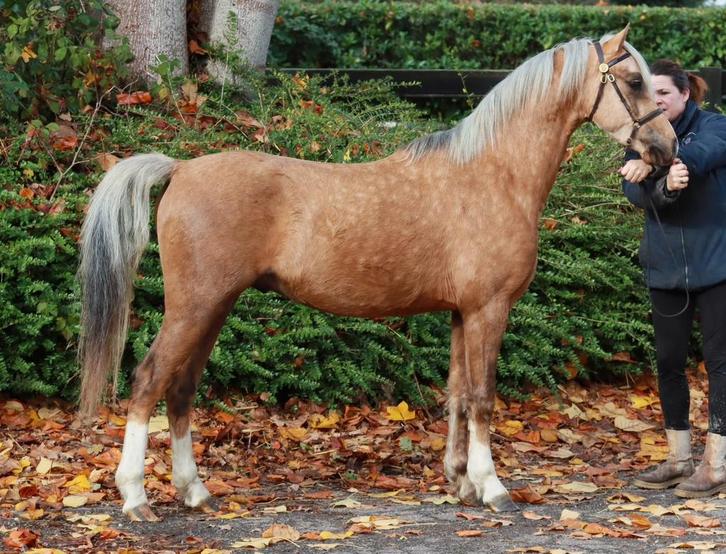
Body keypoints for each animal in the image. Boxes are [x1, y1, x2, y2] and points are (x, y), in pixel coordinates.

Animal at [78, 27, 676, 521]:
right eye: (633, 80)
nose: (666, 150)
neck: (493, 173)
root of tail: (180, 168)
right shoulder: (489, 309)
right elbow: (483, 396)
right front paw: (492, 487)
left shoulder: (461, 313)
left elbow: (459, 394)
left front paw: (460, 482)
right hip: (195, 306)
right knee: (148, 381)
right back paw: (135, 497)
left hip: (214, 308)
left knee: (181, 390)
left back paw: (195, 492)